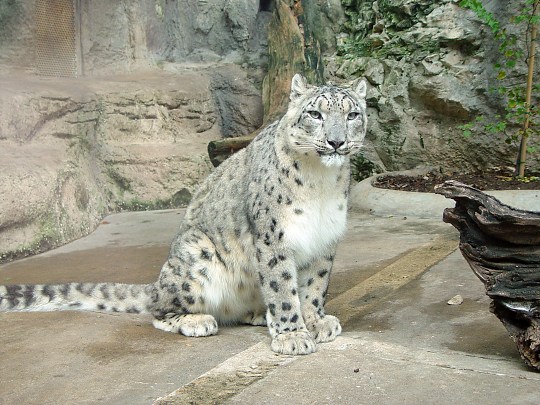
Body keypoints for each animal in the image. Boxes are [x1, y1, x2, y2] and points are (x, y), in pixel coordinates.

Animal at [0, 74, 368, 356]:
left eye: (353, 115)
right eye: (315, 113)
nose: (336, 142)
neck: (320, 182)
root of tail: (158, 283)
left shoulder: (324, 240)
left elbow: (313, 286)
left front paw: (316, 321)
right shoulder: (273, 237)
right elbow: (282, 288)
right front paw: (293, 335)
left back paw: (257, 314)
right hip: (197, 256)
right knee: (160, 310)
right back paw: (198, 321)